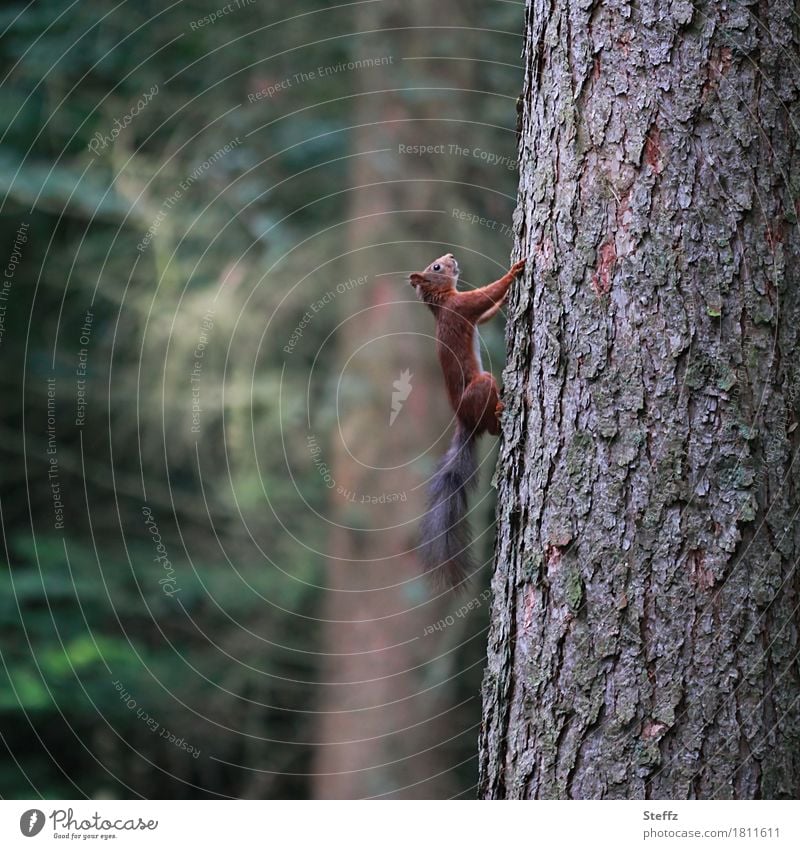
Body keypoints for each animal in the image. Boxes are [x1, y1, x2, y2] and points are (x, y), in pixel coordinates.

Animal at [410, 248, 528, 588]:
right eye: (437, 267)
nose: (451, 255)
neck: (441, 303)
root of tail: (463, 419)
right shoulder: (461, 306)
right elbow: (483, 296)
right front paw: (513, 272)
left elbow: (485, 313)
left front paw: (508, 299)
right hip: (481, 387)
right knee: (489, 425)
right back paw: (500, 413)